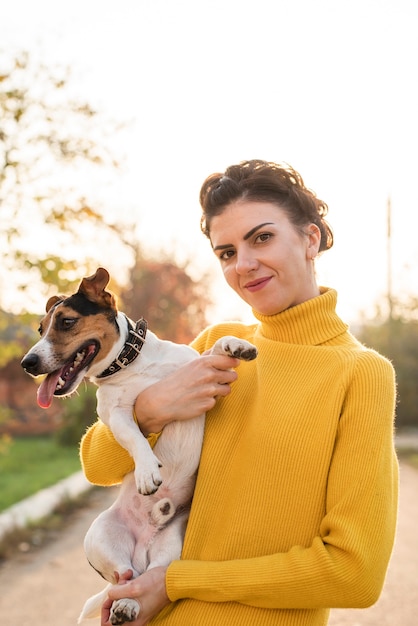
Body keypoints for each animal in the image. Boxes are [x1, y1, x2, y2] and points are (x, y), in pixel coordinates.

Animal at [22, 266, 258, 620]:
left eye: (66, 321)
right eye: (40, 329)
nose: (28, 363)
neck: (134, 366)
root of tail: (143, 546)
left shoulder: (198, 371)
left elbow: (214, 348)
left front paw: (235, 344)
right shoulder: (117, 415)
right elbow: (135, 438)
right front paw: (147, 470)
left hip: (172, 543)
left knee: (153, 574)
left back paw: (130, 602)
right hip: (100, 536)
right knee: (125, 578)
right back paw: (124, 604)